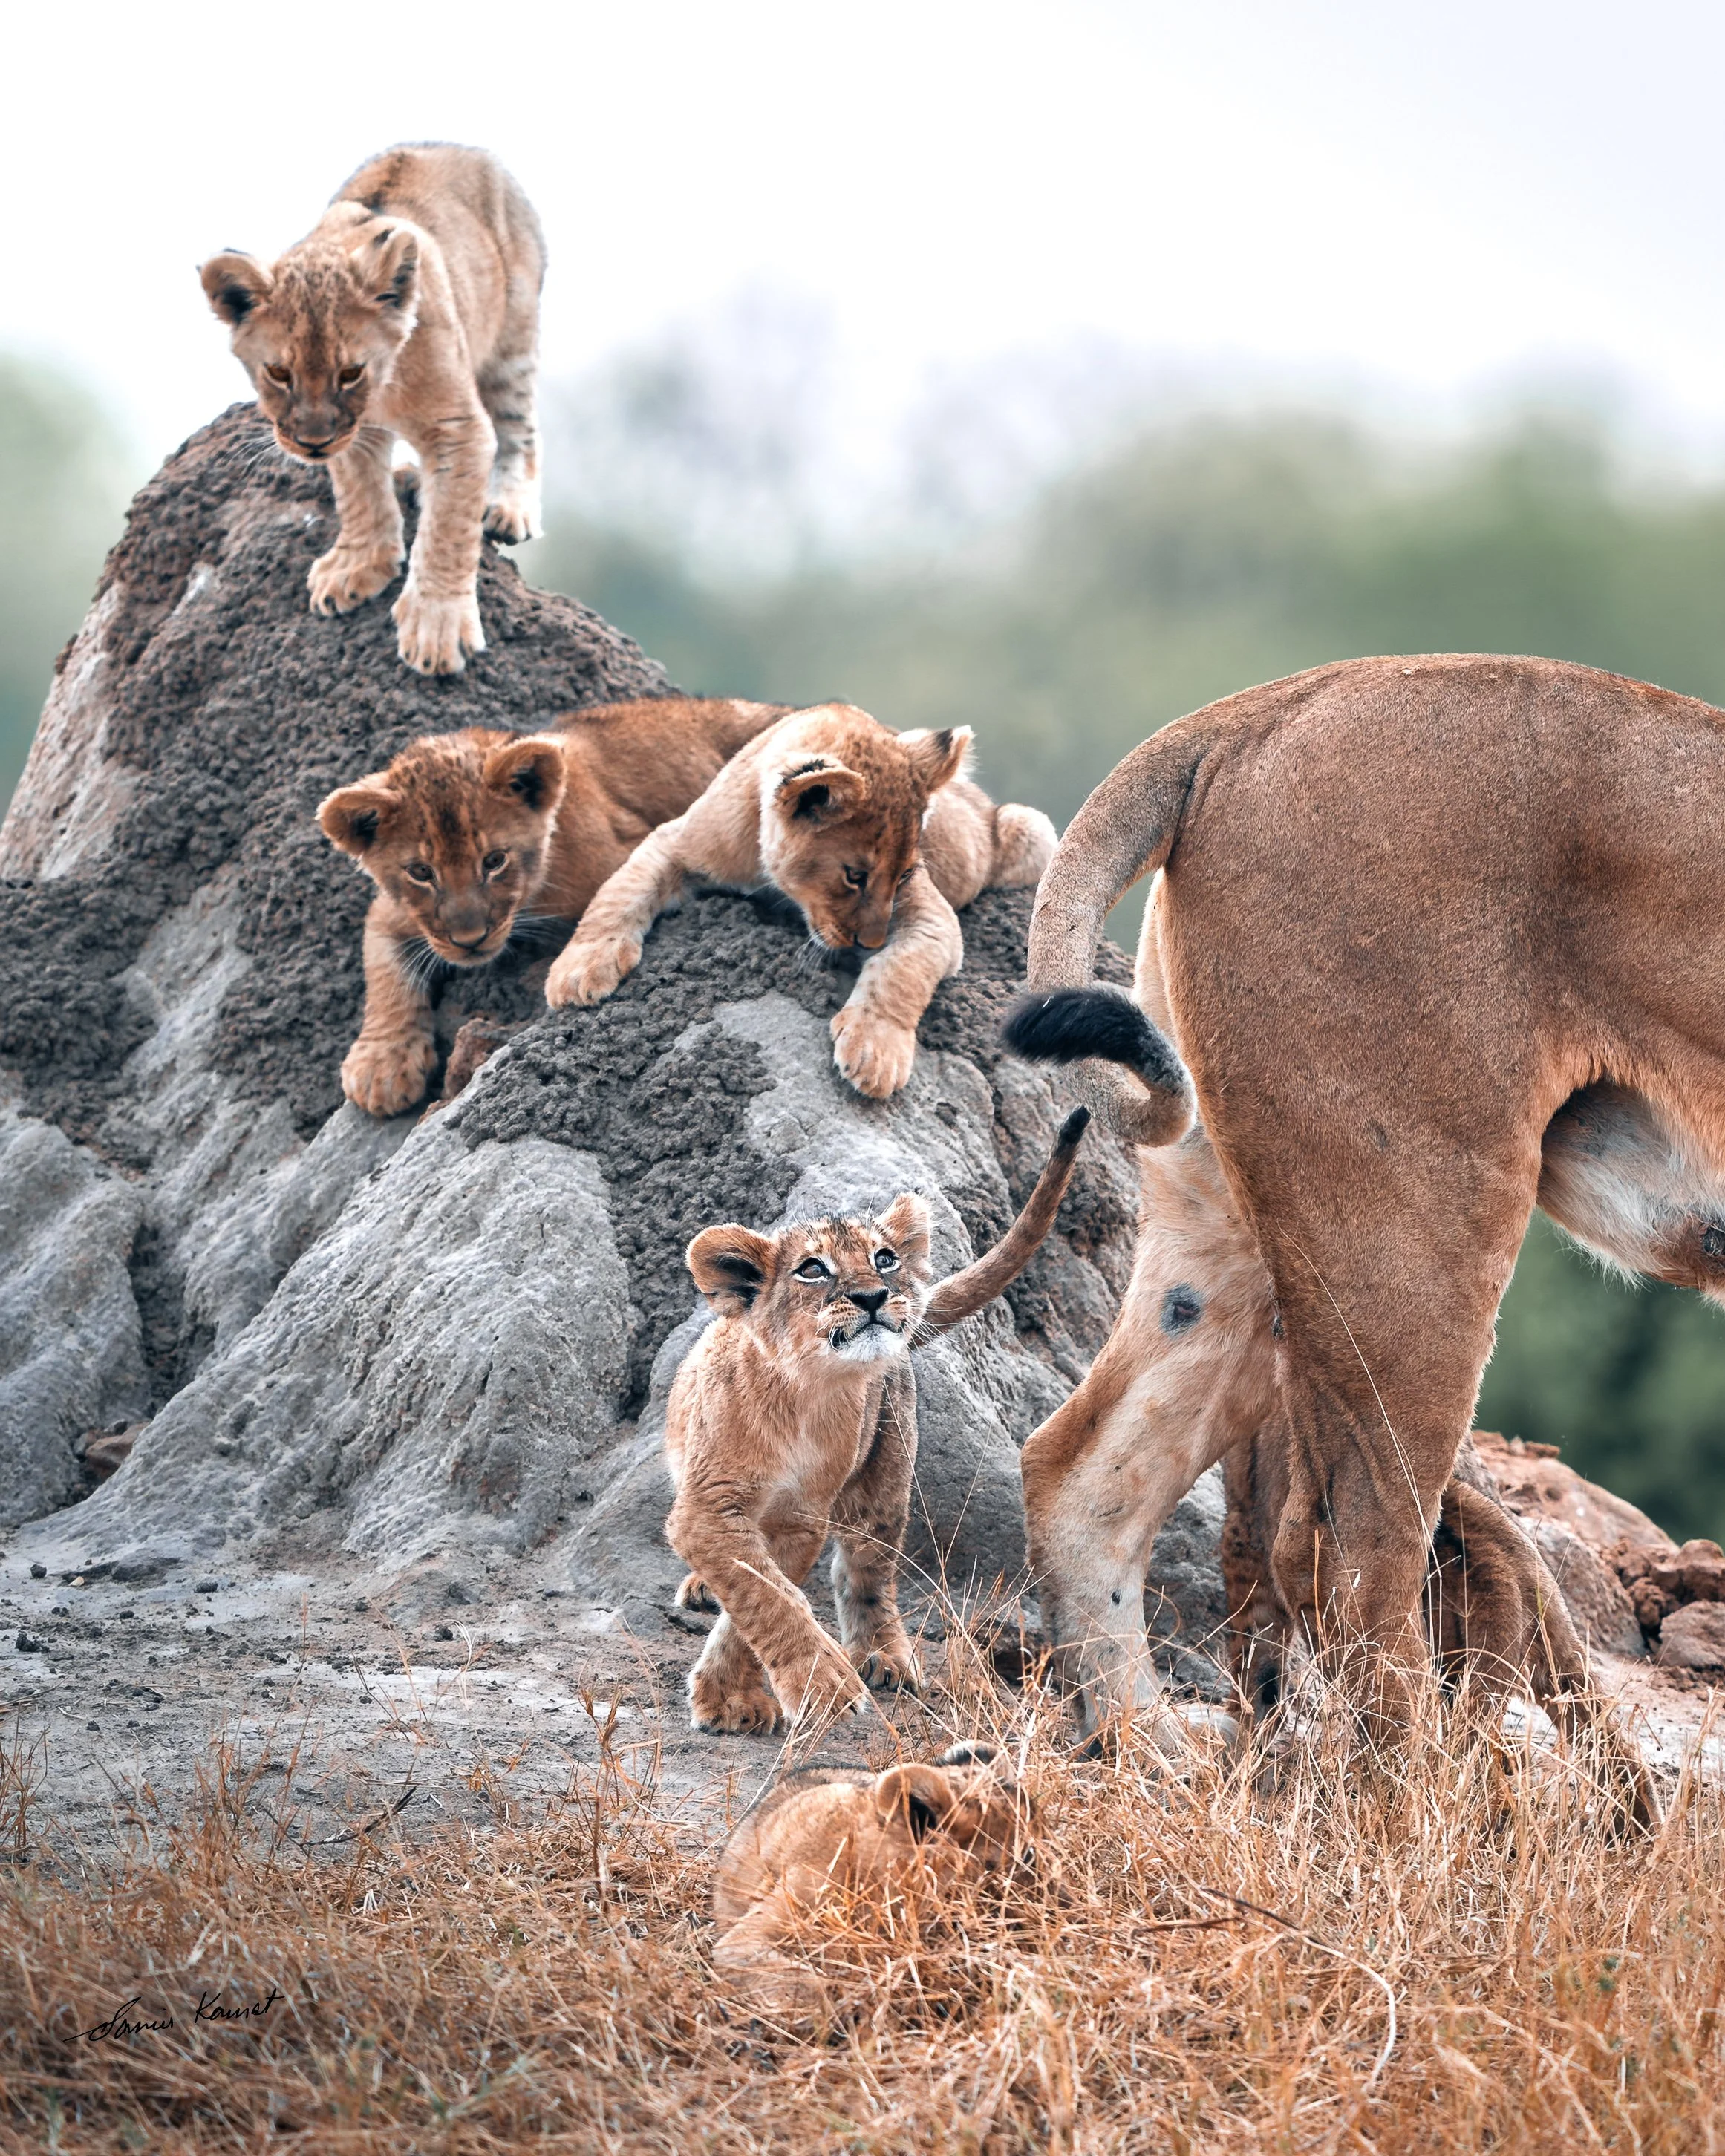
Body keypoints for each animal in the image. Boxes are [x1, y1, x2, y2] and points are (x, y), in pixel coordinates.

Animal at [201, 142, 545, 674]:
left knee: (520, 429)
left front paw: (436, 627)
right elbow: (360, 493)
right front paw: (356, 566)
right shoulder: (349, 433)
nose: (311, 444)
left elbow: (449, 529)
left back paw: (509, 507)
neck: (382, 390)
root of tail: (458, 146)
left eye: (350, 372)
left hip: (514, 337)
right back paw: (412, 479)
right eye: (279, 373)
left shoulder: (458, 427)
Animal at [318, 696, 782, 1116]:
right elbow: (383, 970)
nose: (470, 940)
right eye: (420, 871)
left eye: (494, 860)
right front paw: (381, 1065)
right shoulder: (395, 912)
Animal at [544, 702, 1055, 1097]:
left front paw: (874, 1051)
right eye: (855, 876)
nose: (869, 943)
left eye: (907, 873)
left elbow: (902, 970)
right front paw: (578, 969)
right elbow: (620, 890)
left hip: (1032, 830)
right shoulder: (676, 839)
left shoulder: (935, 920)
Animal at [667, 1109, 1089, 1735]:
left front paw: (736, 1697)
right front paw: (803, 1686)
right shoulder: (708, 1507)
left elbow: (768, 1598)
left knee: (867, 1575)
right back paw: (701, 1587)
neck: (805, 1394)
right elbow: (762, 1593)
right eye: (812, 1269)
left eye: (883, 1258)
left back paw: (885, 1656)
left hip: (886, 1477)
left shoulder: (799, 1519)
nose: (873, 1295)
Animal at [1002, 653, 1725, 1762]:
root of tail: (1250, 709)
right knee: (1353, 1549)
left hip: (1225, 1218)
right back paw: (1416, 1796)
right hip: (1413, 1220)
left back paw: (1150, 1756)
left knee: (1082, 1476)